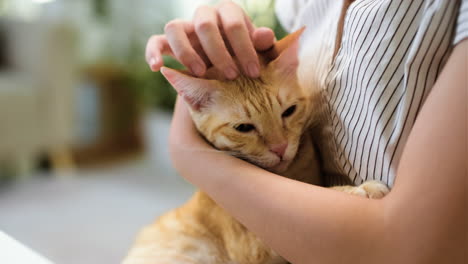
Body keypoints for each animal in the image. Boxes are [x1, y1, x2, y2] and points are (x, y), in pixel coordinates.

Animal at [122, 28, 390, 264]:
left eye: (289, 111)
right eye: (243, 128)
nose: (280, 148)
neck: (290, 174)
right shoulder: (254, 244)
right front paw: (359, 190)